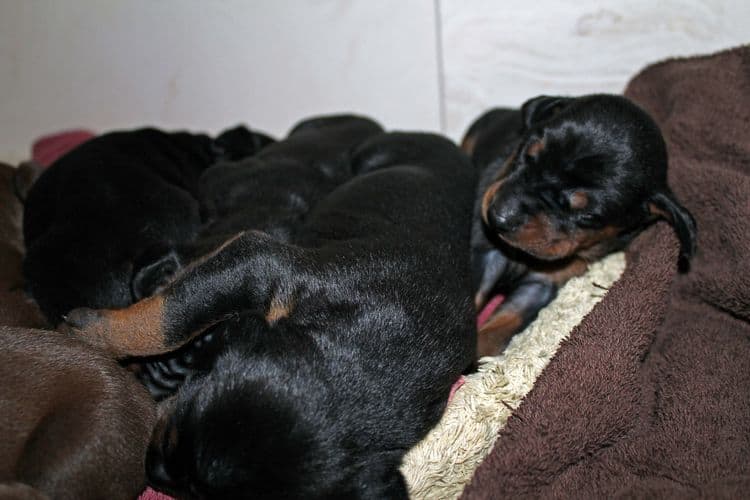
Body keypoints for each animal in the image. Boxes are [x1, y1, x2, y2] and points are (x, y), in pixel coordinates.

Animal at [464, 94, 700, 358]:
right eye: (527, 154)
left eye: (586, 215)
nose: (498, 217)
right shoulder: (486, 253)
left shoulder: (541, 284)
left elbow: (502, 326)